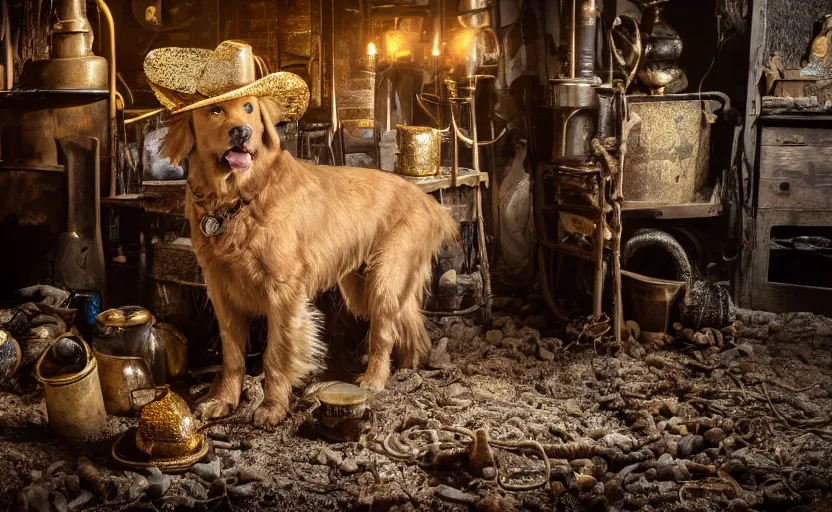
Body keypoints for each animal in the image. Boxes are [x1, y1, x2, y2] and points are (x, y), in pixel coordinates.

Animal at [161, 94, 462, 426]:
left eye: (249, 108)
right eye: (215, 110)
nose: (242, 132)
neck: (237, 199)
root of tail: (429, 202)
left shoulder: (283, 291)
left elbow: (276, 354)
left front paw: (272, 407)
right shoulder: (220, 290)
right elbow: (232, 355)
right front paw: (223, 401)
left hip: (383, 278)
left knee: (383, 333)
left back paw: (375, 379)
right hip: (363, 286)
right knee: (409, 323)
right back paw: (412, 364)